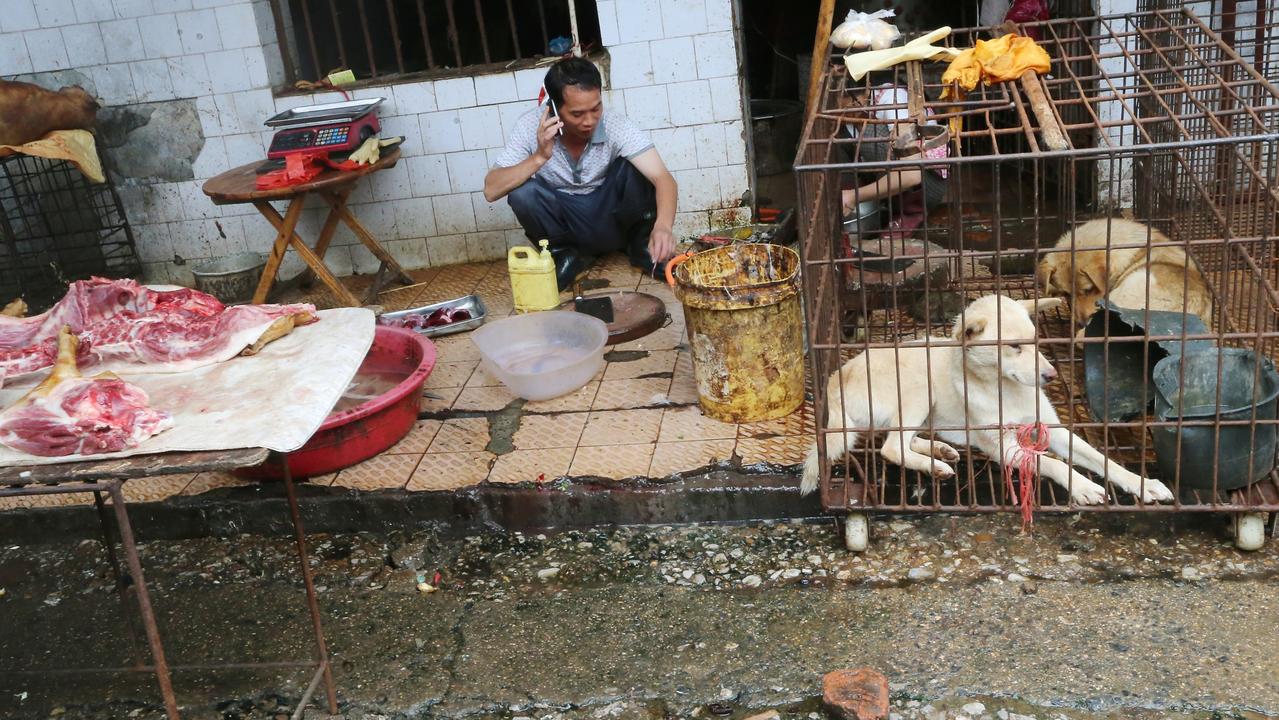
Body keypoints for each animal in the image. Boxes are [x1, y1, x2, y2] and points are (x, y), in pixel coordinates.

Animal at [803, 292, 1171, 506]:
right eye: (1013, 346)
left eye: (1036, 341)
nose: (1052, 375)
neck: (1007, 391)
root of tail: (838, 375)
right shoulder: (1003, 447)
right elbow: (1053, 463)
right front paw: (1081, 486)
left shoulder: (1053, 429)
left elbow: (1102, 459)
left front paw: (1143, 484)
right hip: (920, 389)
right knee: (891, 448)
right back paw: (935, 464)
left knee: (900, 440)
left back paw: (939, 451)